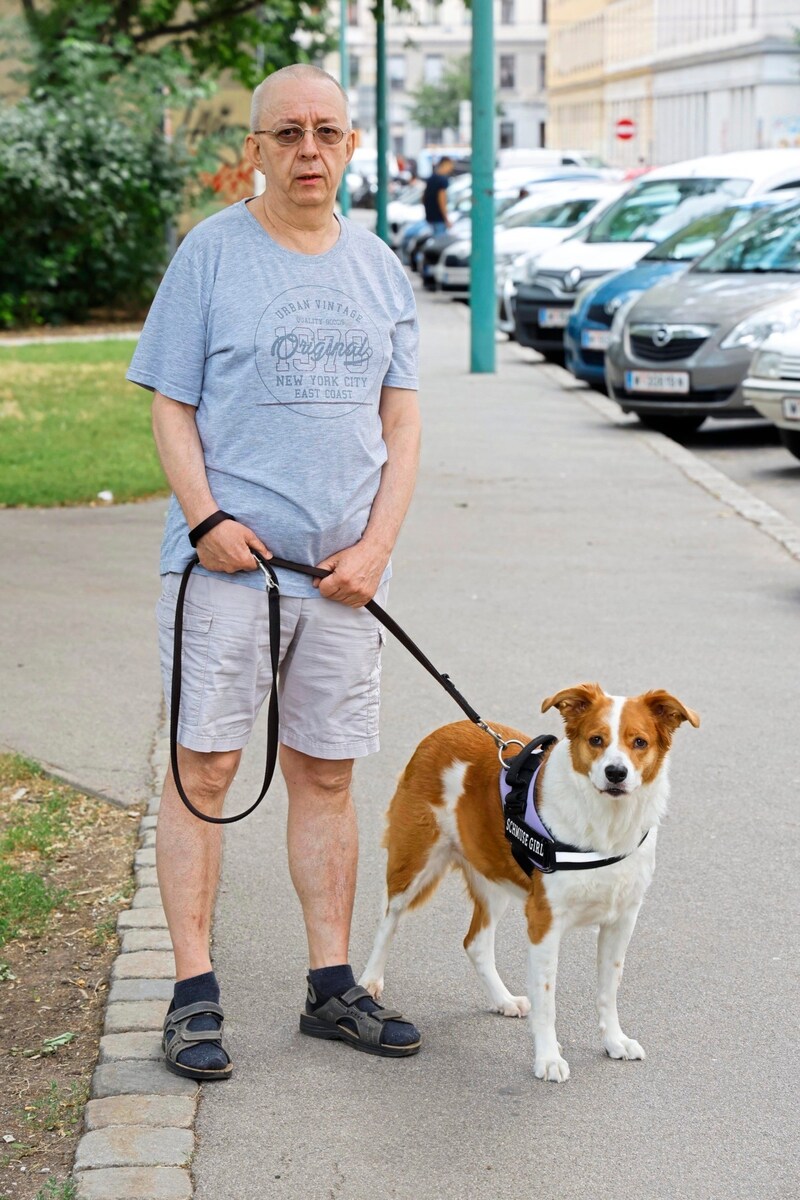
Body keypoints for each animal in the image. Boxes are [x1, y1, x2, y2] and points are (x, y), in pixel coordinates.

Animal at [359, 681, 695, 1084]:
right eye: (596, 740)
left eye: (639, 742)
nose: (616, 773)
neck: (607, 824)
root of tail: (444, 730)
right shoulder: (544, 922)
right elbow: (546, 1001)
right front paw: (548, 1059)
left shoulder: (622, 920)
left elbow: (608, 990)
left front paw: (614, 1041)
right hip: (415, 860)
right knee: (388, 920)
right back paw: (368, 982)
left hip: (494, 875)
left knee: (475, 942)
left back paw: (502, 1000)